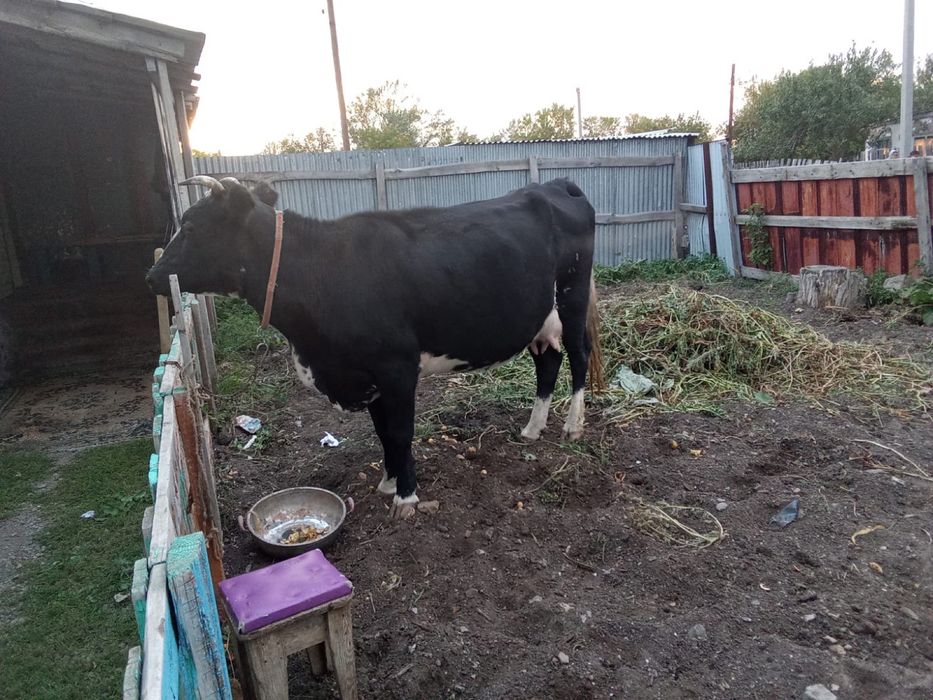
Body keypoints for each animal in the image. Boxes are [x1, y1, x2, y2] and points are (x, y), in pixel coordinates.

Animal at [147, 176, 603, 519]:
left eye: (192, 227)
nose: (152, 276)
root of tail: (553, 185)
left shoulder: (396, 367)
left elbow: (400, 432)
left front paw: (407, 497)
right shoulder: (367, 374)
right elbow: (383, 433)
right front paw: (388, 482)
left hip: (573, 297)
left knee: (578, 357)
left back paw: (573, 426)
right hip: (540, 317)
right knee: (548, 361)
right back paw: (532, 428)